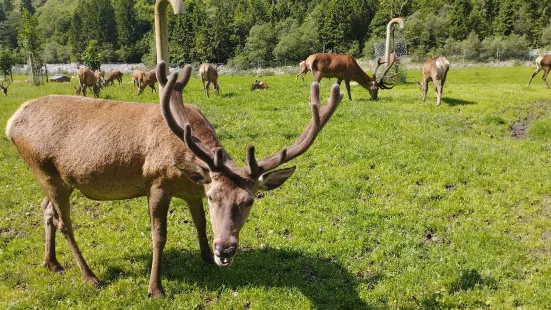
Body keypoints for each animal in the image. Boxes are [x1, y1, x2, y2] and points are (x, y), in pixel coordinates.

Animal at [5, 61, 344, 298]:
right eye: (214, 197)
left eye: (249, 200)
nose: (226, 249)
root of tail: (11, 123)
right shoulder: (157, 182)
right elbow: (159, 235)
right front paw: (155, 288)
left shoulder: (191, 191)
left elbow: (200, 224)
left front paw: (206, 256)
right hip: (44, 169)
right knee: (65, 223)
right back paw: (91, 277)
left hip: (59, 178)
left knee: (46, 210)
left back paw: (51, 263)